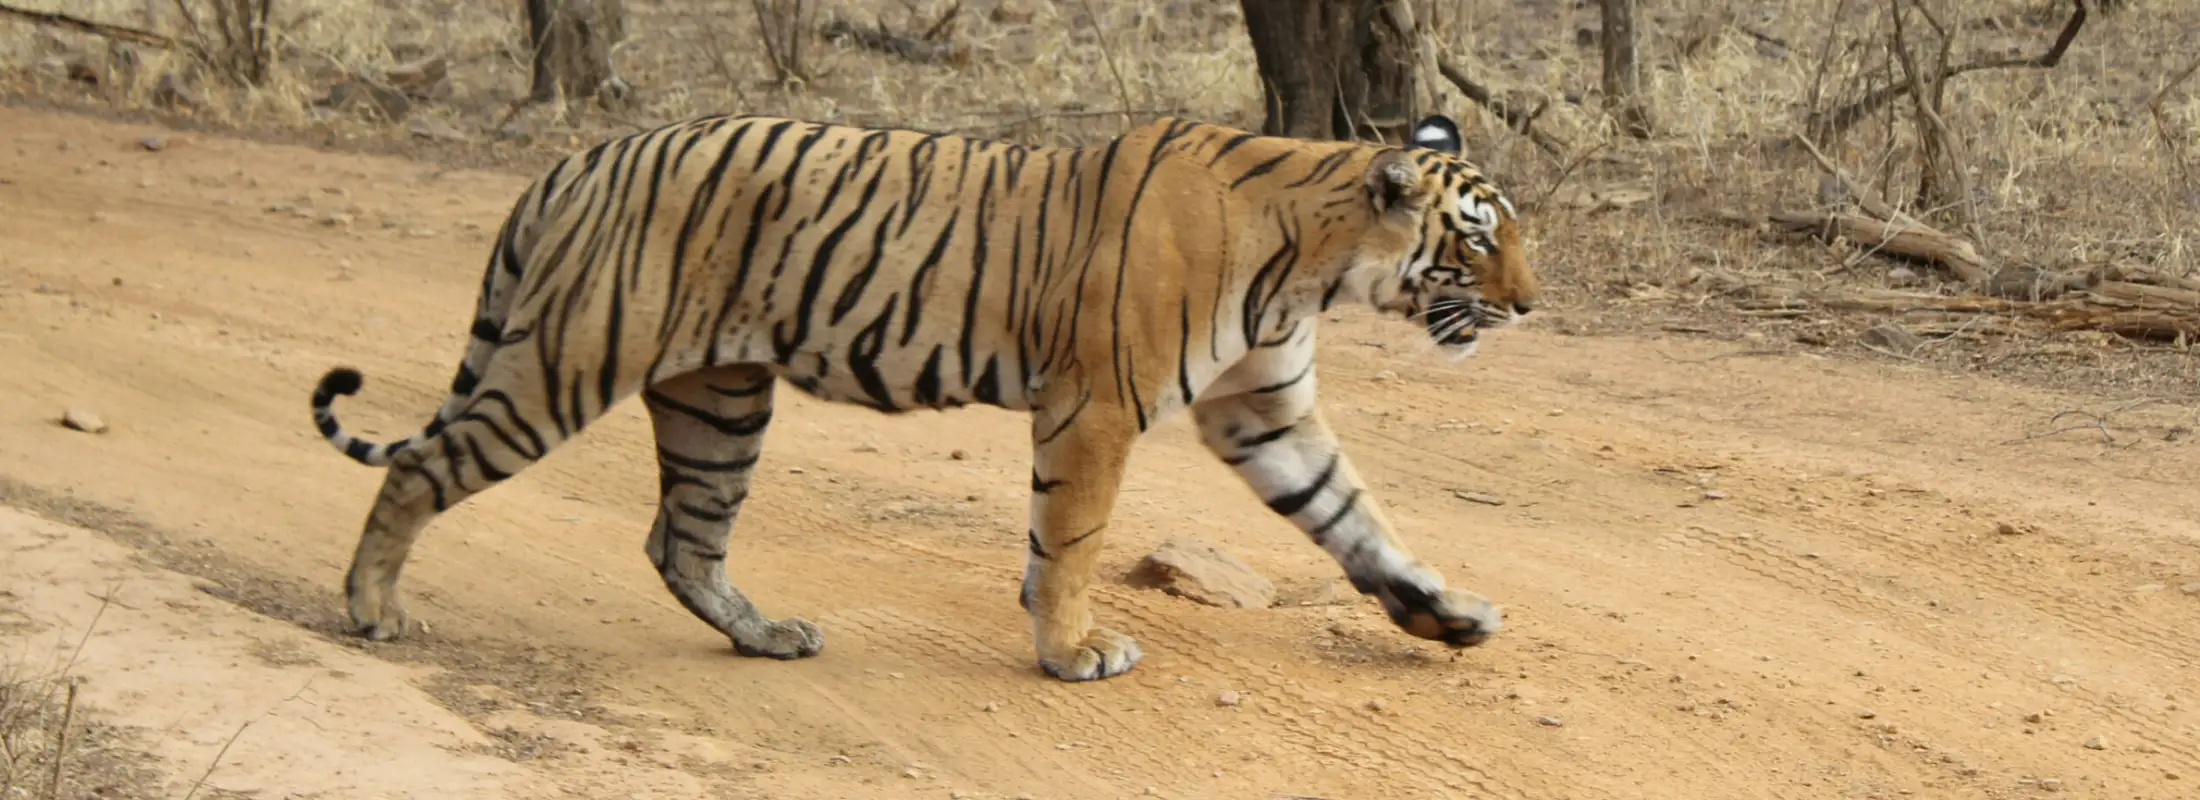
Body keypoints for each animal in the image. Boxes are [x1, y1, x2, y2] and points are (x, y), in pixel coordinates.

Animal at [308, 110, 1539, 682]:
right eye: (1477, 240)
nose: (1533, 306)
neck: (1318, 263)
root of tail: (576, 158)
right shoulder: (1097, 402)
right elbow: (1072, 539)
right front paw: (1072, 652)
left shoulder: (1265, 409)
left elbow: (1355, 516)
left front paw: (1447, 614)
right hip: (566, 362)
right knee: (422, 466)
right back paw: (372, 610)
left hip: (721, 400)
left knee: (681, 539)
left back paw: (768, 635)